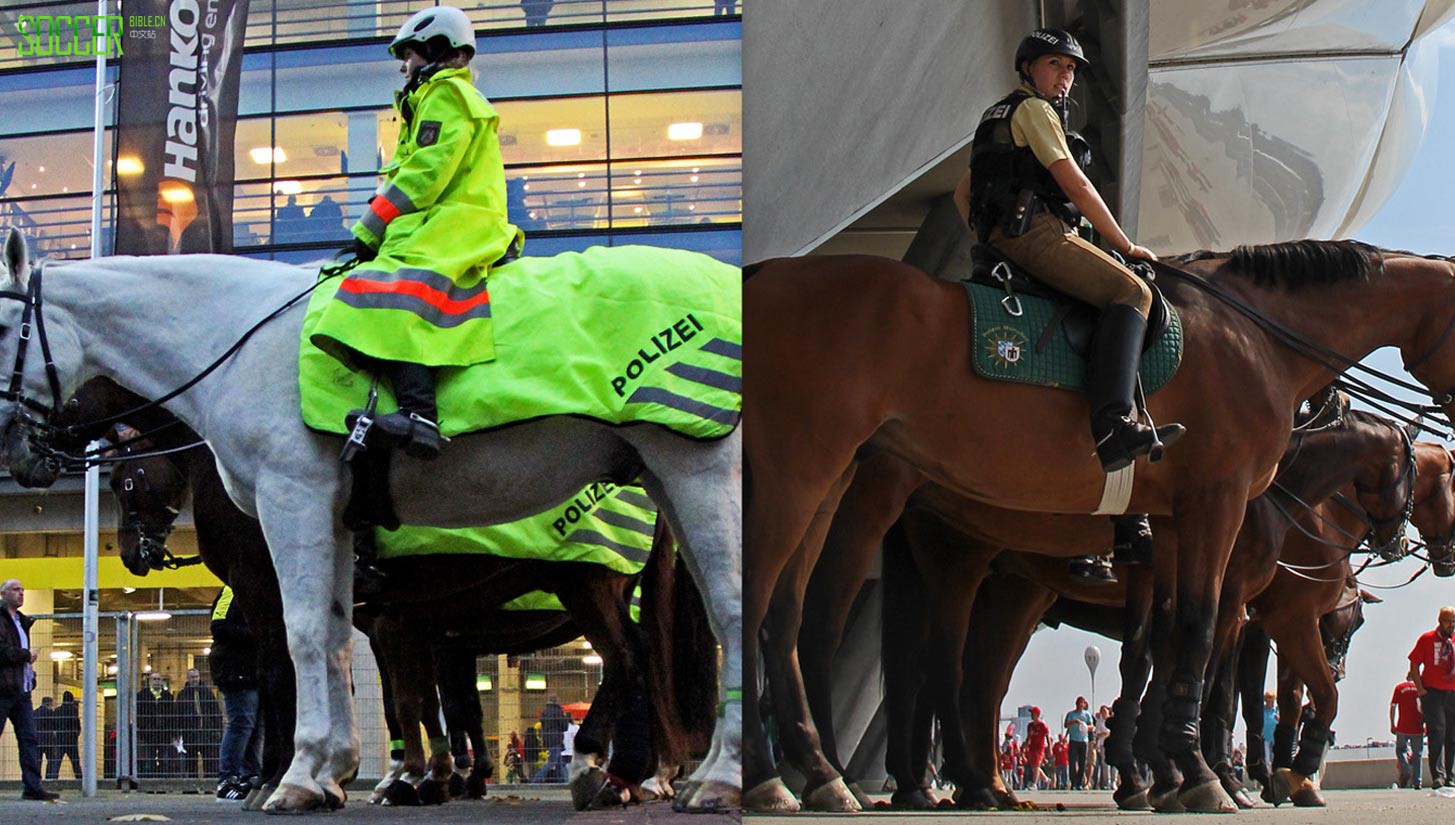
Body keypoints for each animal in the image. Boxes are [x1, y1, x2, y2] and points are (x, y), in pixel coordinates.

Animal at [0, 231, 739, 814]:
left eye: (126, 480)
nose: (20, 455)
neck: (239, 344)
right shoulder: (343, 542)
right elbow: (341, 650)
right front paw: (336, 772)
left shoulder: (292, 505)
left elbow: (297, 649)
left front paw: (291, 776)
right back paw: (652, 773)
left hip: (673, 499)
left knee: (698, 627)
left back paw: (686, 773)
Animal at [744, 244, 1455, 814]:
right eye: (1443, 482)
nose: (1422, 548)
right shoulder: (1223, 521)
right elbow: (1205, 648)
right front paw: (1209, 777)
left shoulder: (1174, 529)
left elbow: (1167, 648)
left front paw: (1175, 773)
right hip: (818, 480)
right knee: (788, 615)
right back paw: (798, 776)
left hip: (882, 511)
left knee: (836, 632)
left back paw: (872, 777)